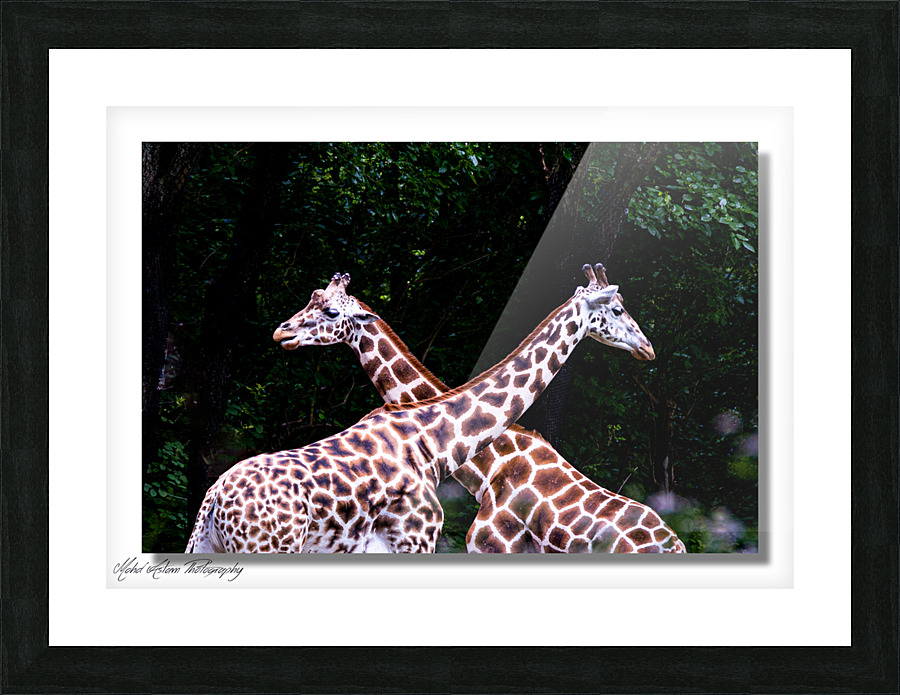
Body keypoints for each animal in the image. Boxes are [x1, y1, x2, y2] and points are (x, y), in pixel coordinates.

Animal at [274, 270, 685, 553]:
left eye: (330, 311)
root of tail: (676, 545)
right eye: (311, 299)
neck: (488, 467)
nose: (282, 332)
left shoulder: (492, 544)